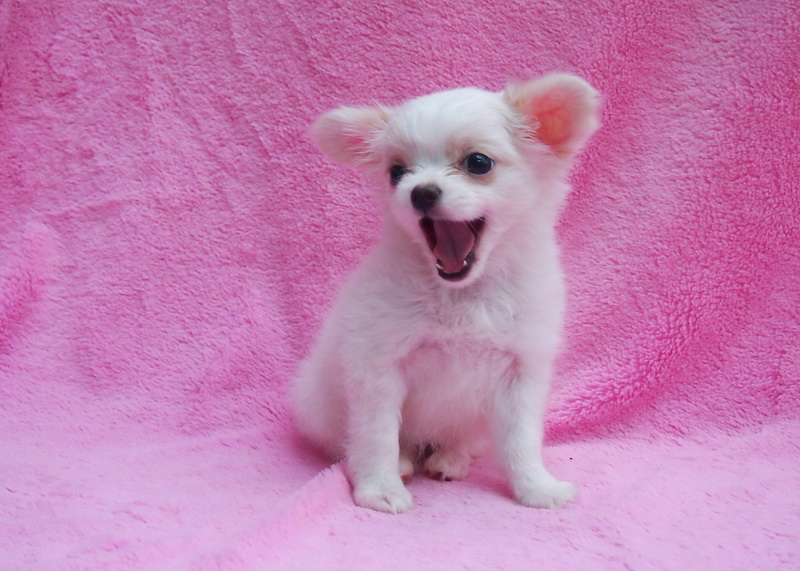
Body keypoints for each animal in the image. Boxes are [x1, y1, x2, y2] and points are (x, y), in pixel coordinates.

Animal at [292, 73, 600, 513]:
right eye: (397, 172)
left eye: (478, 163)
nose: (421, 191)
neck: (464, 294)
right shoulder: (377, 369)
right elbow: (376, 435)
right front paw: (380, 489)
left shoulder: (522, 373)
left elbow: (522, 442)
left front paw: (536, 488)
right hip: (318, 405)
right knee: (358, 441)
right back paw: (404, 462)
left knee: (464, 439)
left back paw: (450, 458)